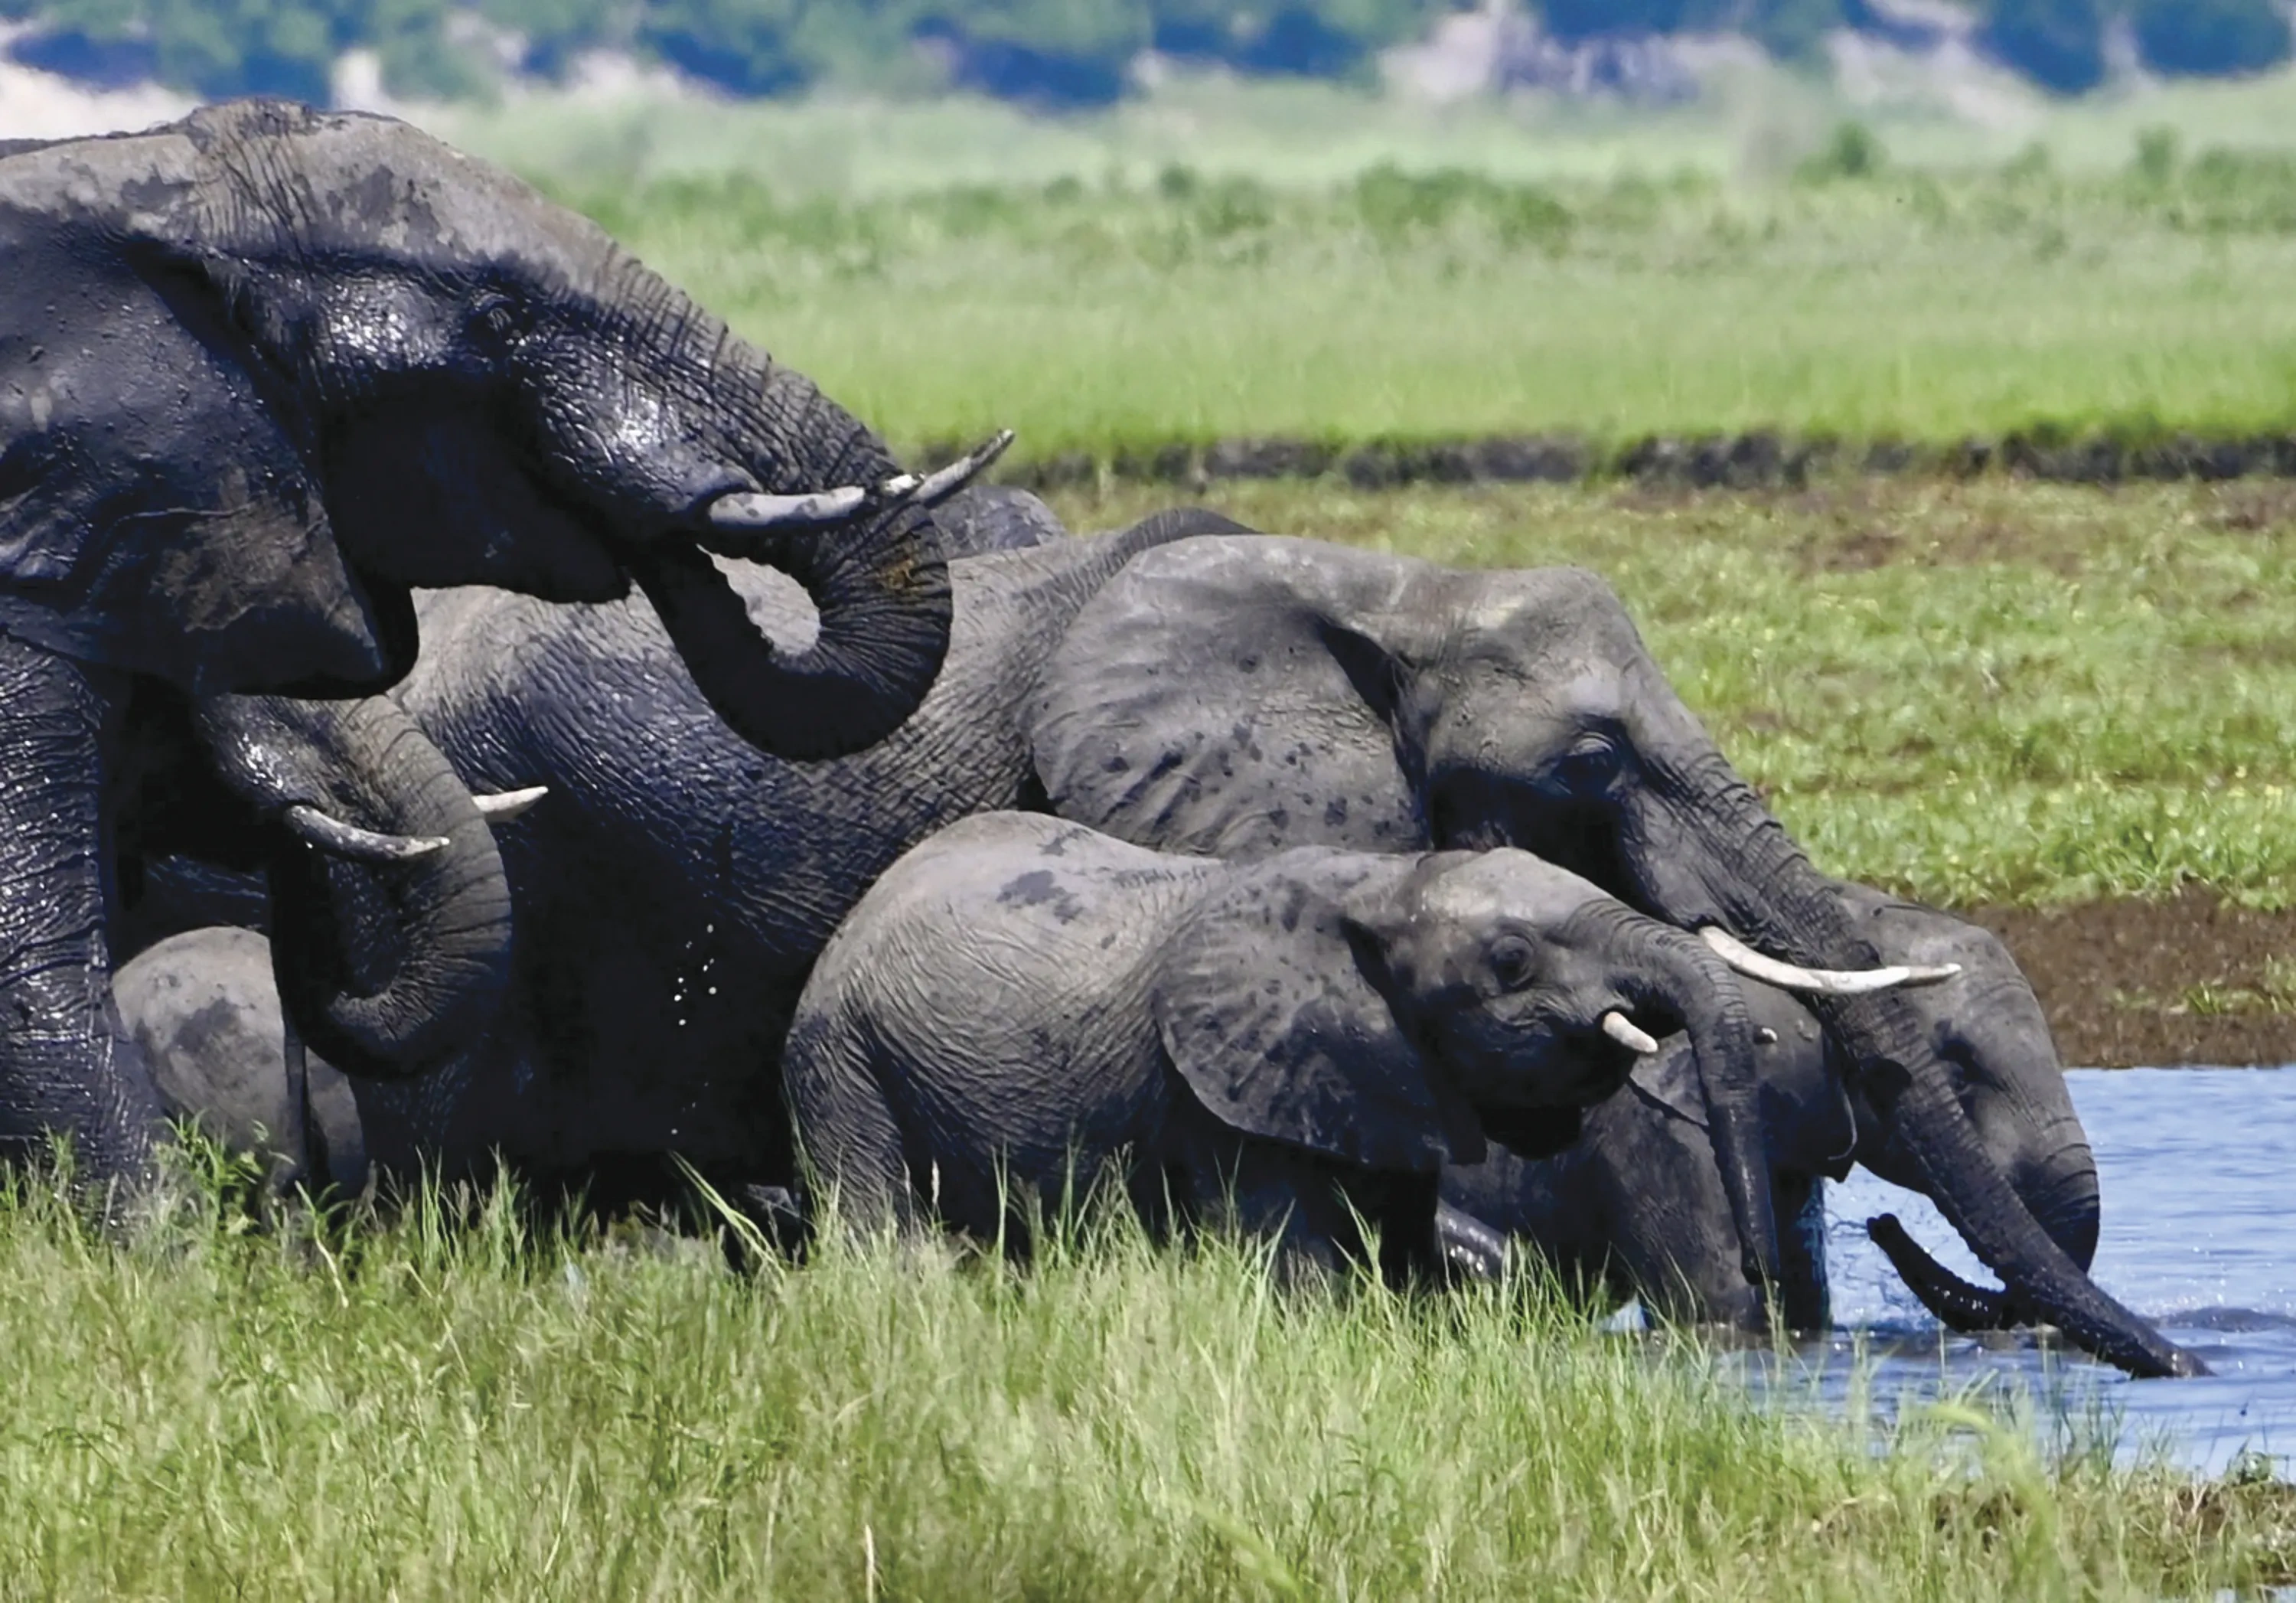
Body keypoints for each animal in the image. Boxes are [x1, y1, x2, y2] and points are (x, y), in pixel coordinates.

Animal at [781, 811, 1787, 1276]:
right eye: (1511, 961)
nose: (1759, 1274)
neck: (1383, 884)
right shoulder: (1225, 1095)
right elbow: (1299, 1271)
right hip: (840, 1055)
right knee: (879, 1234)